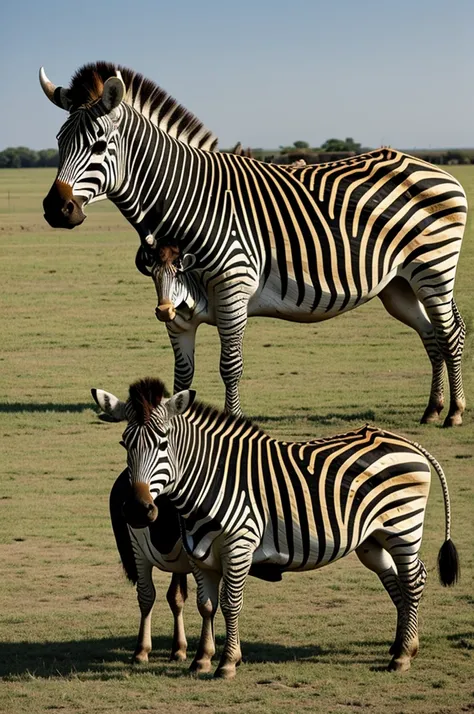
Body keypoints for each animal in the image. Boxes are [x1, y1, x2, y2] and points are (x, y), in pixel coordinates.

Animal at [39, 62, 466, 422]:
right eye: (58, 142)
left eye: (98, 145)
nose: (56, 209)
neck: (189, 203)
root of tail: (433, 168)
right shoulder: (173, 309)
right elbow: (182, 375)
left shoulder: (234, 290)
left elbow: (230, 366)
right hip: (397, 285)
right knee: (430, 333)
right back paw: (432, 409)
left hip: (433, 269)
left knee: (450, 332)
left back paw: (454, 412)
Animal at [91, 376, 460, 676]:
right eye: (125, 443)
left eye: (164, 443)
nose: (137, 510)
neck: (209, 481)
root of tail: (406, 442)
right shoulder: (199, 554)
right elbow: (206, 605)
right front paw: (201, 659)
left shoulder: (239, 545)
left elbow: (230, 603)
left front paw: (227, 663)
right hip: (373, 539)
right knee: (397, 584)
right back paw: (401, 646)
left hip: (402, 528)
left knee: (413, 580)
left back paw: (403, 656)